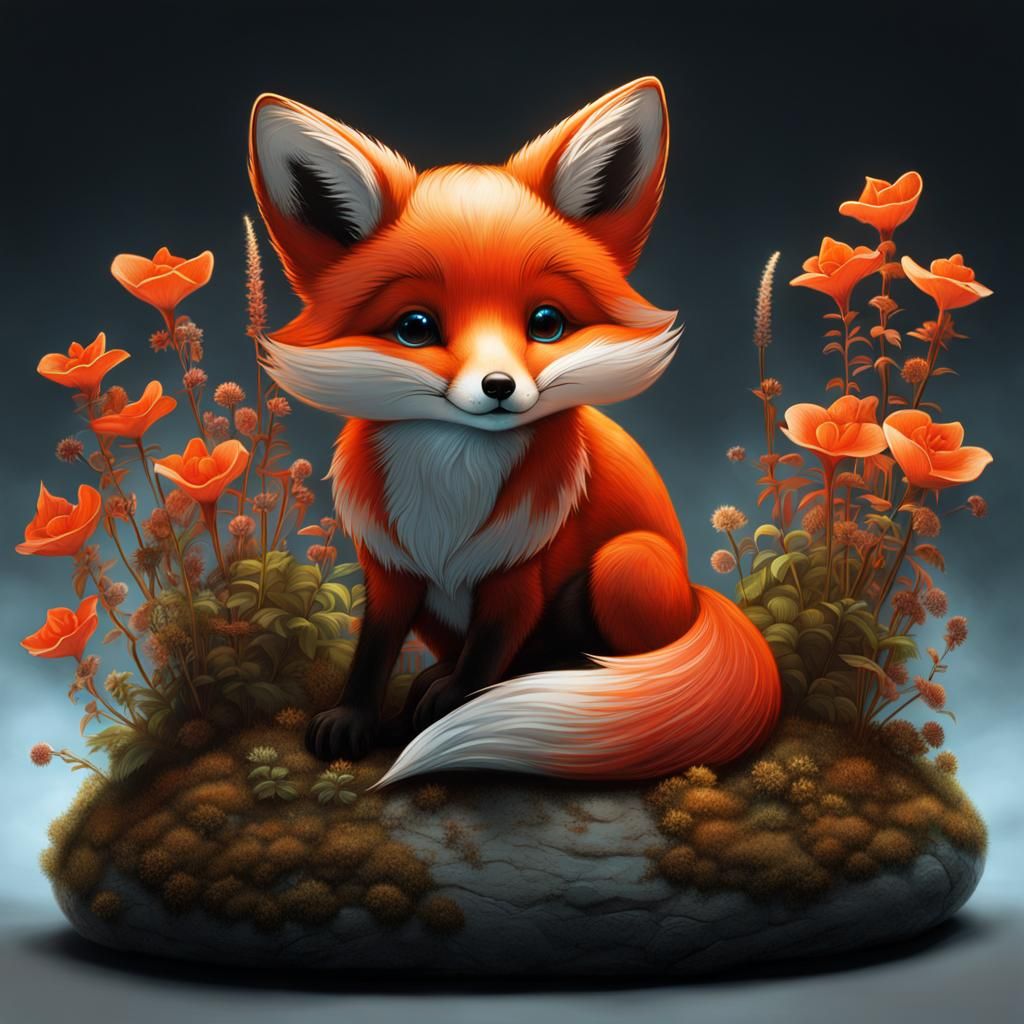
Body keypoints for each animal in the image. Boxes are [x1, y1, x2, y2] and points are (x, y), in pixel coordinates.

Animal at [248, 77, 781, 788]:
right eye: (415, 327)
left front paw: (455, 709)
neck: (449, 487)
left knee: (584, 656)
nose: (499, 387)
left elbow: (487, 658)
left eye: (547, 322)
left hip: (625, 562)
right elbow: (373, 651)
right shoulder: (391, 570)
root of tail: (698, 599)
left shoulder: (517, 574)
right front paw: (354, 718)